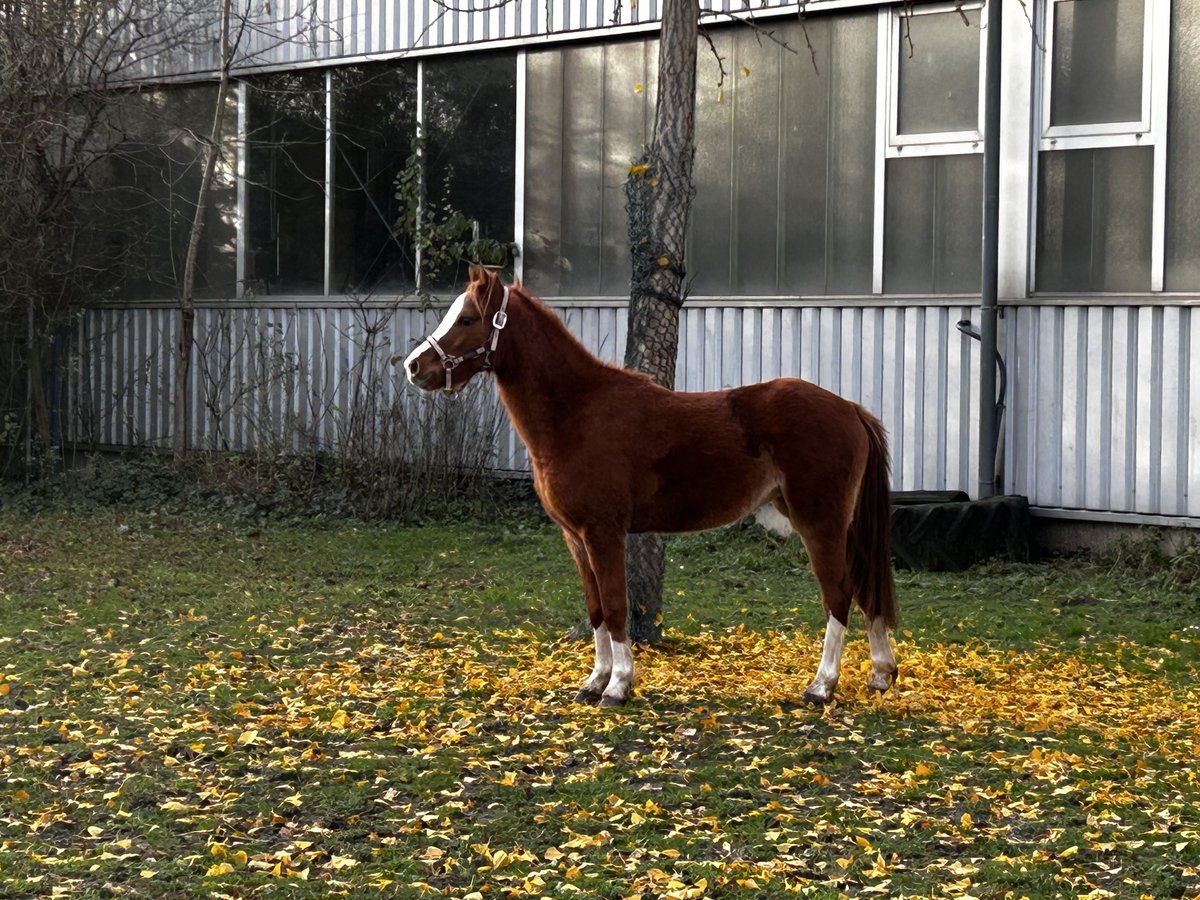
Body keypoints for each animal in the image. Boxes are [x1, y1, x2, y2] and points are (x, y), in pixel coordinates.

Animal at [408, 271, 897, 710]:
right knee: (864, 589)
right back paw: (880, 674)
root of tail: (850, 409)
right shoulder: (575, 538)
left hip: (819, 523)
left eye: (467, 318)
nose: (414, 366)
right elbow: (596, 610)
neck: (577, 413)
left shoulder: (604, 533)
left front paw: (618, 687)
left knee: (838, 594)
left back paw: (821, 687)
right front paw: (593, 682)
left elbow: (616, 607)